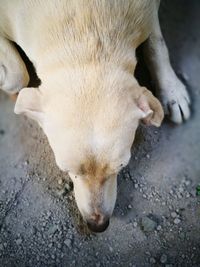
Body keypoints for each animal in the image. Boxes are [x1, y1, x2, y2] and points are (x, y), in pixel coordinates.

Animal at [0, 0, 191, 232]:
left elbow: (157, 44)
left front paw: (172, 91)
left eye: (122, 166)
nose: (98, 225)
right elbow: (17, 76)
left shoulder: (148, 13)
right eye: (66, 169)